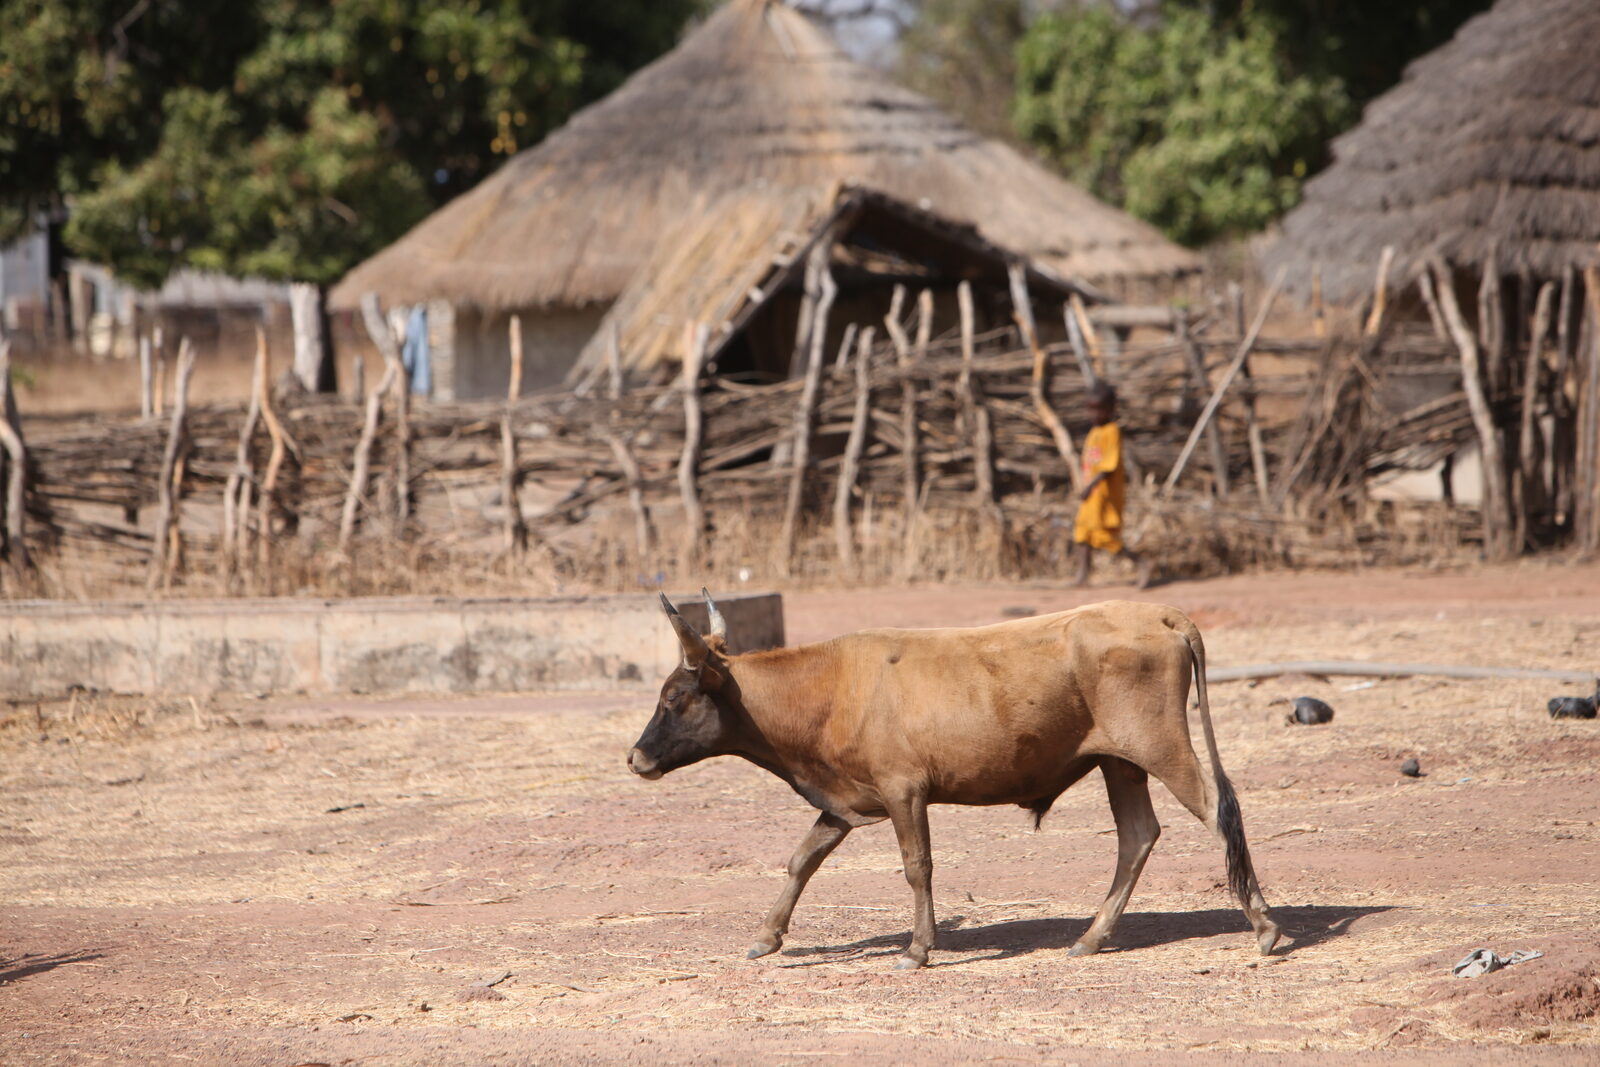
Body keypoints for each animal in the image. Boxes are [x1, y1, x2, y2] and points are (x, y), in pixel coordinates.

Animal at [627, 590, 1280, 970]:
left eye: (674, 698)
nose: (636, 759)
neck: (832, 688)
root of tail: (1161, 614)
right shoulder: (844, 800)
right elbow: (801, 860)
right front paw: (766, 937)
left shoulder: (904, 791)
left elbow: (917, 867)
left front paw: (918, 948)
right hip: (1120, 764)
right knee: (1139, 836)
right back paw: (1092, 937)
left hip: (1160, 747)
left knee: (1216, 811)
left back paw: (1265, 927)